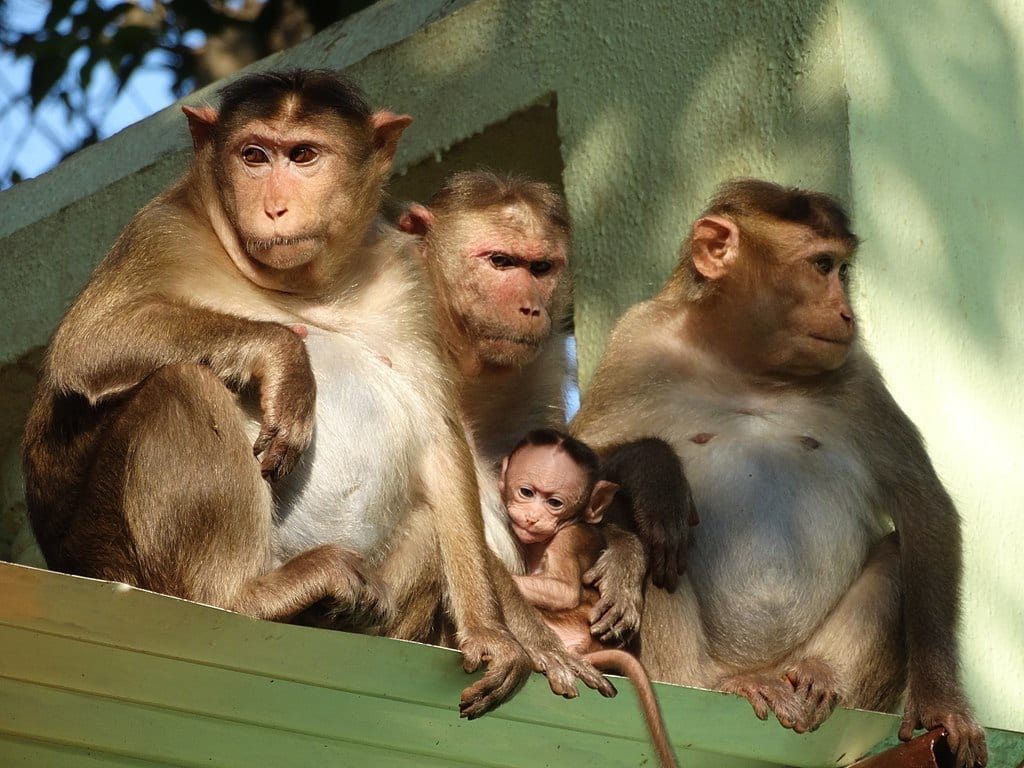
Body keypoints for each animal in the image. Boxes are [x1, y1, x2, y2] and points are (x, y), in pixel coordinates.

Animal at [21, 69, 610, 719]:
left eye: (304, 156)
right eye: (254, 156)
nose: (274, 207)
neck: (302, 287)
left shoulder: (403, 276)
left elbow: (437, 437)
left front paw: (494, 635)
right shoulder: (161, 230)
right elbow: (89, 343)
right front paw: (285, 360)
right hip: (121, 559)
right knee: (182, 383)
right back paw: (244, 593)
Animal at [571, 179, 987, 767]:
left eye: (842, 269)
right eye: (821, 265)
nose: (845, 312)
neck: (747, 365)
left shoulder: (857, 374)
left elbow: (923, 508)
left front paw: (940, 702)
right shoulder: (635, 340)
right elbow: (576, 455)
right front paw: (656, 474)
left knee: (899, 549)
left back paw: (821, 674)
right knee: (657, 528)